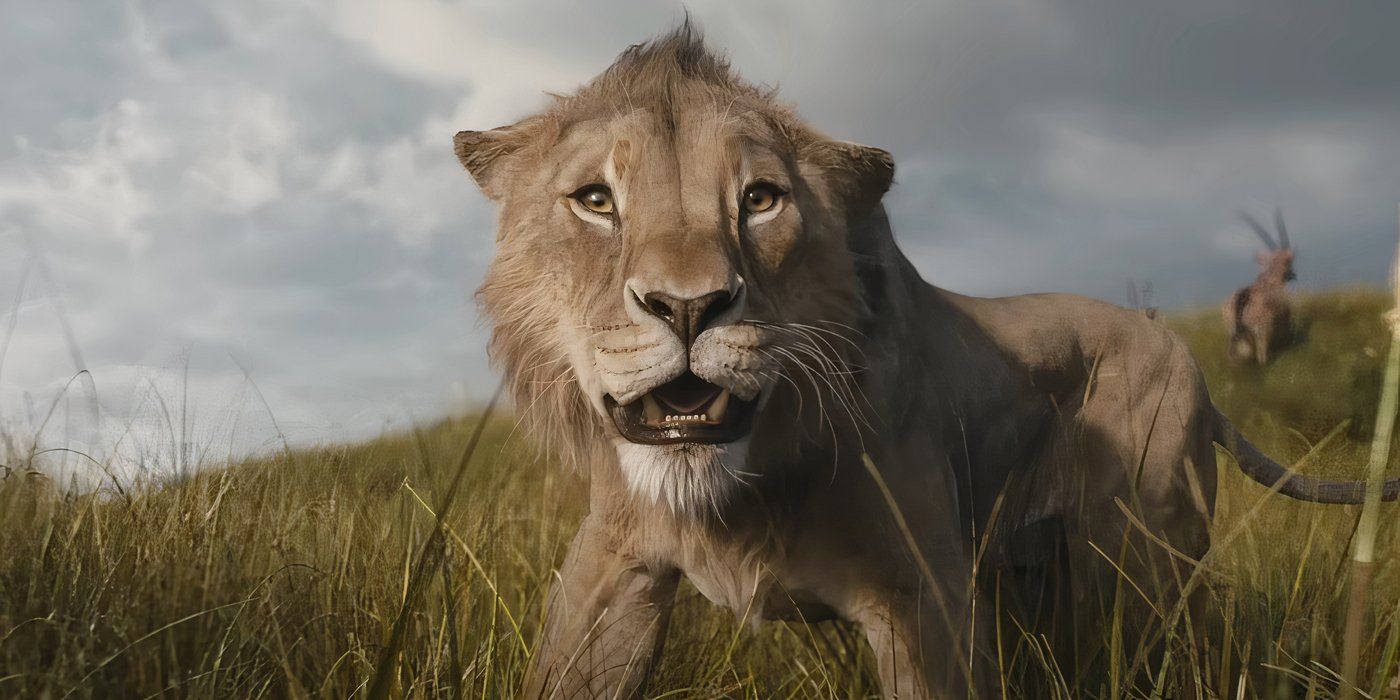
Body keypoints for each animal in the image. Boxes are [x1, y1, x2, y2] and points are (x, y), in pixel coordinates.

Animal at [454, 25, 1397, 698]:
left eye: (759, 200)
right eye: (595, 201)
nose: (688, 307)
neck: (741, 489)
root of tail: (1181, 347)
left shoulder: (928, 599)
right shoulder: (610, 564)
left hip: (1144, 553)